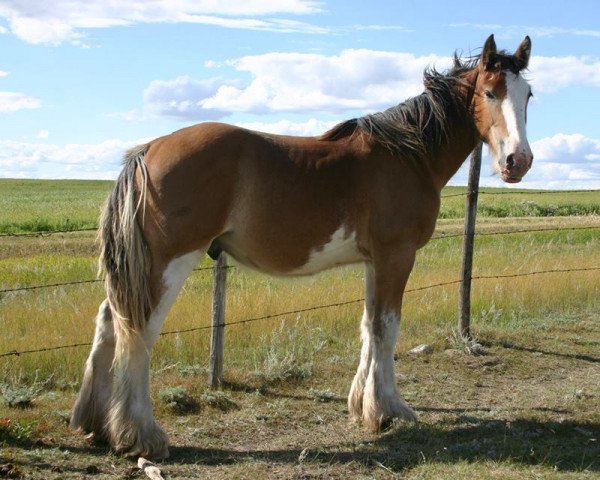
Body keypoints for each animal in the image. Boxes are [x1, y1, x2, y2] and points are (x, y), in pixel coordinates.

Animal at [71, 33, 536, 458]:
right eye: (490, 92)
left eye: (528, 95)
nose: (519, 161)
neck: (408, 156)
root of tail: (148, 150)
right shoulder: (396, 256)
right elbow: (387, 329)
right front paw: (389, 410)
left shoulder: (374, 261)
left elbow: (369, 326)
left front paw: (363, 407)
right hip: (171, 262)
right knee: (139, 332)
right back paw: (142, 436)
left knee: (108, 322)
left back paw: (94, 424)